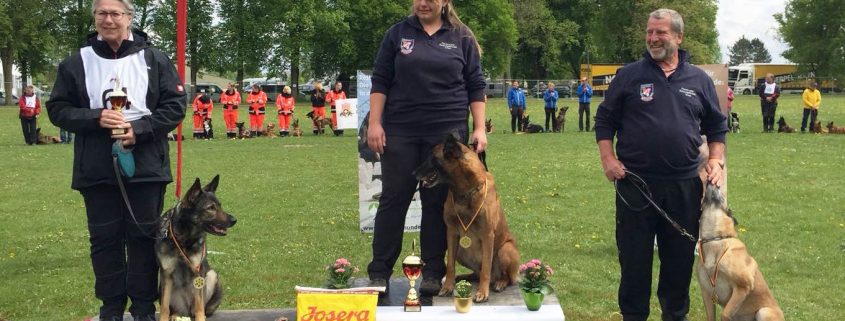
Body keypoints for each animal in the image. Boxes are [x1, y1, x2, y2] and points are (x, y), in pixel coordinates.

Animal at [156, 175, 236, 320]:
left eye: (220, 205)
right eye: (211, 208)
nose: (234, 220)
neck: (184, 239)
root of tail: (186, 310)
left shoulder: (197, 274)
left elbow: (199, 307)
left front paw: (200, 318)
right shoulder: (166, 275)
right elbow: (164, 307)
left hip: (211, 276)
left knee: (201, 308)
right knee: (173, 310)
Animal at [412, 134, 516, 302]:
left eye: (433, 158)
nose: (413, 173)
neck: (466, 192)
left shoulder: (488, 235)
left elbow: (486, 268)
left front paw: (482, 292)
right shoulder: (452, 232)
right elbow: (450, 265)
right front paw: (448, 287)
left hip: (505, 250)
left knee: (504, 277)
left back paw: (500, 283)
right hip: (461, 251)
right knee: (476, 273)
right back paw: (461, 278)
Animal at [696, 182, 780, 320]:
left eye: (722, 196)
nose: (711, 181)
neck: (715, 239)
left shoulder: (743, 286)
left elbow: (724, 314)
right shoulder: (707, 293)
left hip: (764, 311)